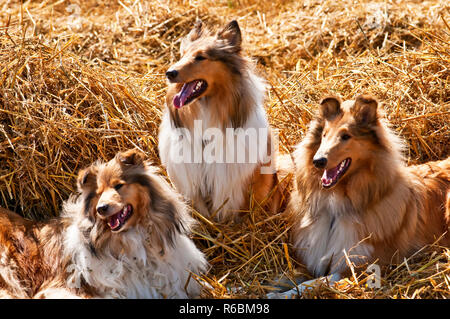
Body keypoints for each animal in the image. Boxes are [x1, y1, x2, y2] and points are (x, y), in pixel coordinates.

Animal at [288, 95, 450, 280]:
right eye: (324, 135)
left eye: (346, 136)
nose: (318, 161)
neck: (337, 206)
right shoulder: (306, 265)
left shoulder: (359, 266)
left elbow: (319, 280)